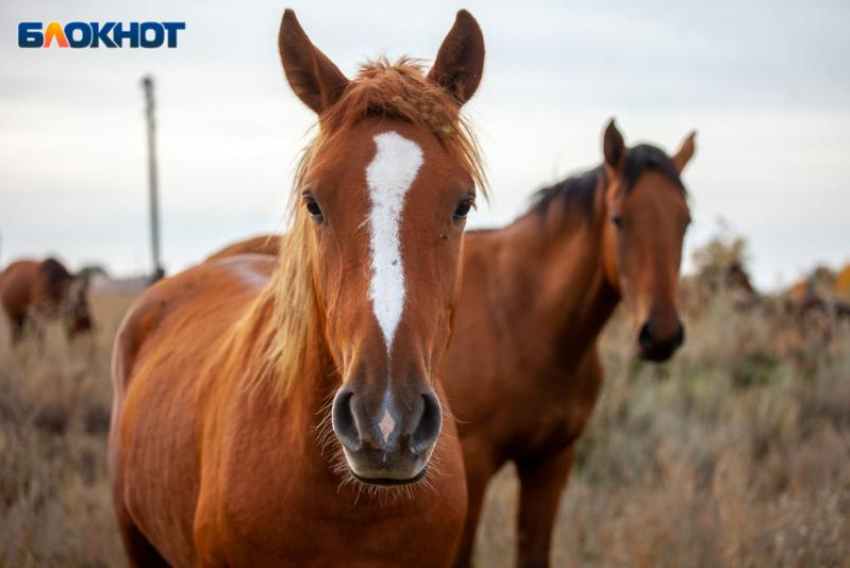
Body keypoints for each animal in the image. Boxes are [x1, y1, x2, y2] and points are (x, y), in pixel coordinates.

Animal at [450, 121, 696, 568]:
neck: (517, 316)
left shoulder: (550, 462)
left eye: (685, 221)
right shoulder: (472, 468)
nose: (661, 334)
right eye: (618, 219)